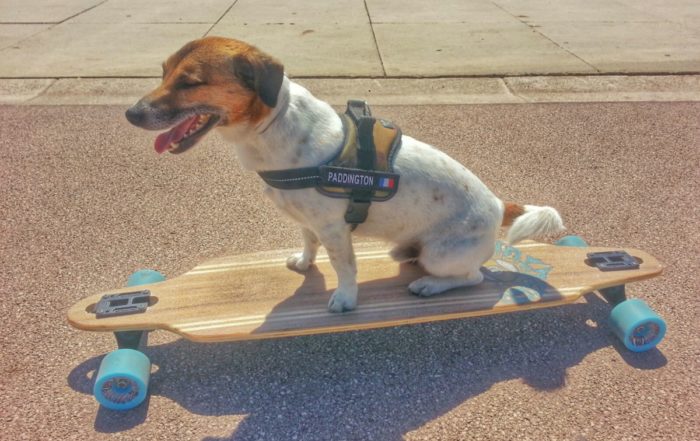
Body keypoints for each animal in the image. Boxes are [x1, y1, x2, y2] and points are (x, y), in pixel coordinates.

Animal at [124, 37, 564, 312]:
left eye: (190, 82)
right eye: (162, 73)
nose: (131, 113)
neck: (272, 126)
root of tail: (499, 203)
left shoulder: (335, 230)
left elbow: (345, 268)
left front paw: (345, 300)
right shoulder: (307, 221)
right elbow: (308, 244)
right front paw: (304, 262)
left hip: (442, 255)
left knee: (473, 277)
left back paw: (430, 285)